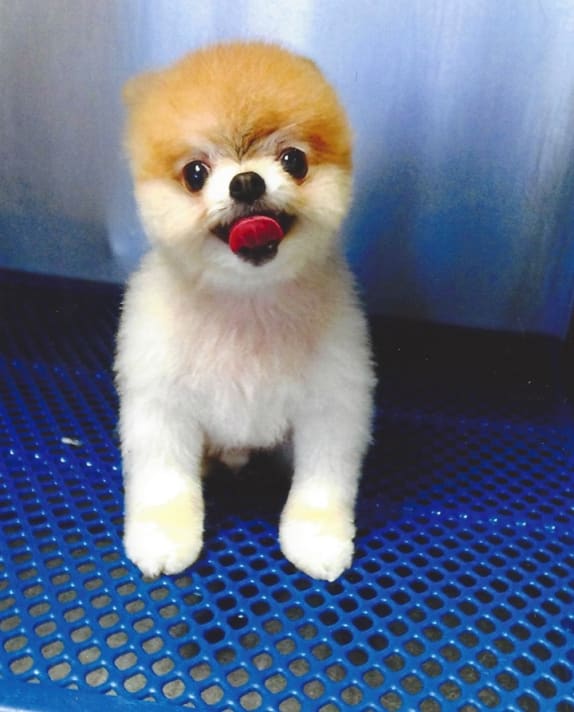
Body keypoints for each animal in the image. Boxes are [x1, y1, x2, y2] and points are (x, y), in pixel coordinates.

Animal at [117, 41, 378, 580]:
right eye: (195, 173)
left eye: (293, 160)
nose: (246, 183)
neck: (246, 304)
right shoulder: (162, 406)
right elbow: (164, 481)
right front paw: (163, 536)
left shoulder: (331, 407)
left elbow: (322, 484)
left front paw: (317, 537)